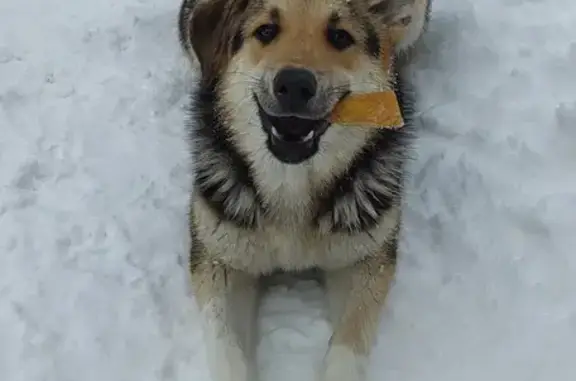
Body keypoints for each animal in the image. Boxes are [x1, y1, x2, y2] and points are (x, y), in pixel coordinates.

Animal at [178, 1, 430, 378]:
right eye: (266, 31)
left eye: (340, 36)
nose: (294, 84)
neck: (291, 186)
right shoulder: (220, 255)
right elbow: (226, 347)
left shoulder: (365, 257)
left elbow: (348, 345)